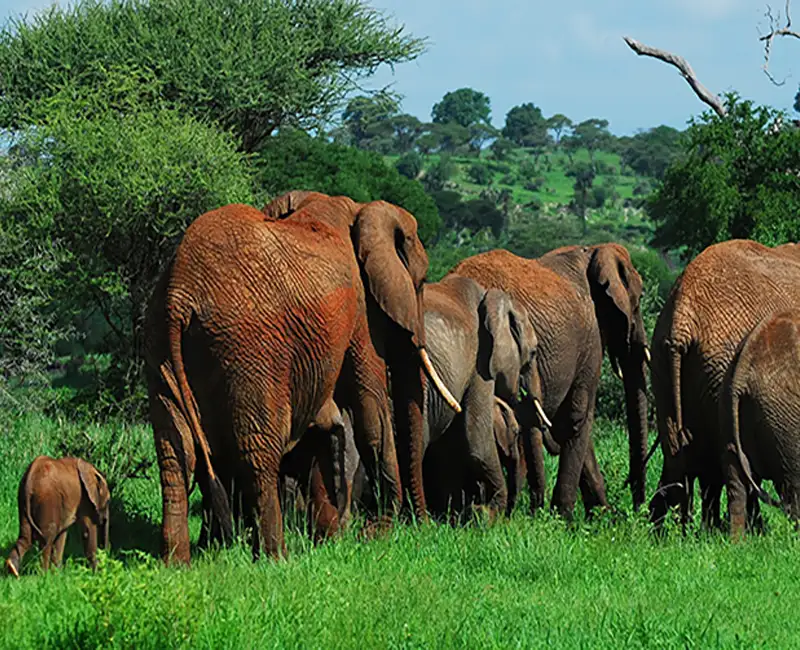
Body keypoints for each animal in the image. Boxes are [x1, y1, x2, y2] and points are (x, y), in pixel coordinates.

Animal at [144, 191, 460, 564]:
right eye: (421, 282)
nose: (423, 527)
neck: (359, 209)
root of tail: (180, 293)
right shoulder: (360, 310)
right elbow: (370, 408)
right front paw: (379, 534)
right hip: (250, 349)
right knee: (259, 450)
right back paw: (275, 558)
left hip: (160, 347)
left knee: (175, 454)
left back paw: (176, 563)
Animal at [451, 244, 649, 518]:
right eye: (638, 302)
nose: (639, 510)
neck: (593, 252)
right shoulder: (590, 339)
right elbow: (577, 416)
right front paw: (566, 517)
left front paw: (601, 517)